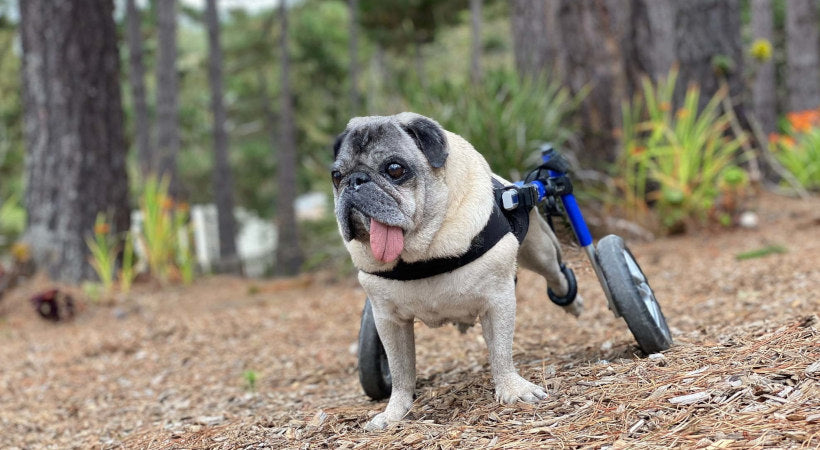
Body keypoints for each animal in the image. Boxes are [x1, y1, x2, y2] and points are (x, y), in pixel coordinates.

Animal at [330, 111, 580, 428]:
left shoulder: (498, 301)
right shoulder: (389, 320)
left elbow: (501, 352)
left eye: (395, 169)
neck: (423, 253)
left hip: (539, 251)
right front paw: (395, 412)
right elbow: (401, 372)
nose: (355, 181)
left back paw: (572, 301)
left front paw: (512, 389)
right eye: (336, 176)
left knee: (557, 274)